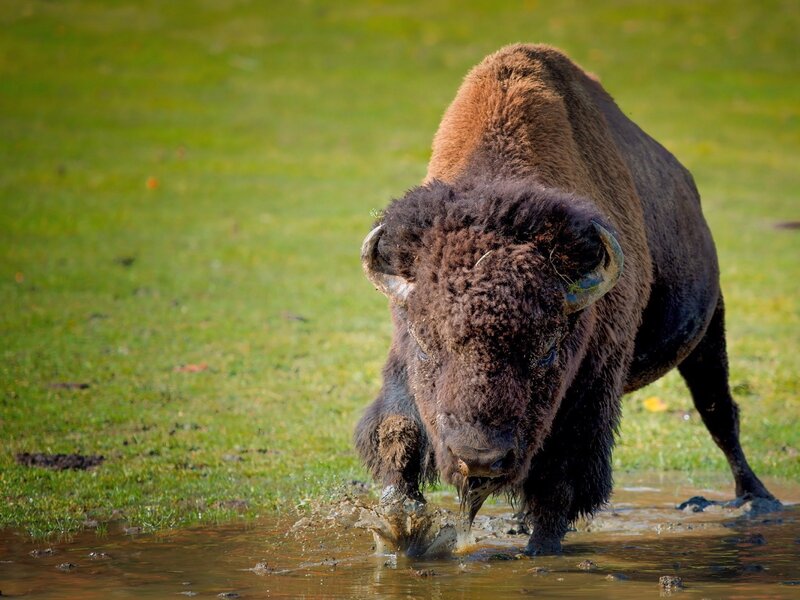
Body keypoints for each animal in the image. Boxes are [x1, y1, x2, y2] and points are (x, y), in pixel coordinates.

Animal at [355, 44, 777, 555]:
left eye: (547, 350)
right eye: (424, 342)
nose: (480, 458)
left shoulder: (592, 388)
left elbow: (560, 480)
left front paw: (541, 549)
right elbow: (397, 433)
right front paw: (398, 533)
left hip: (709, 331)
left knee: (719, 413)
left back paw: (757, 499)